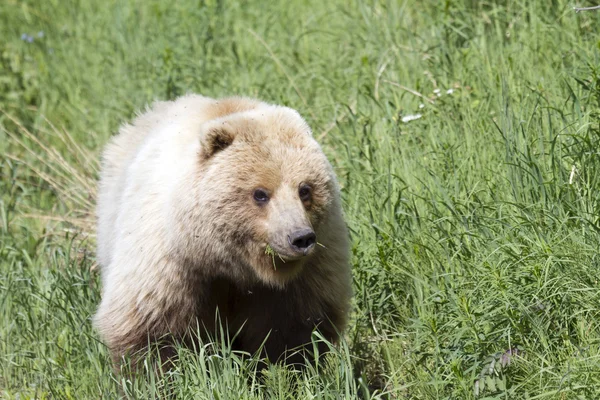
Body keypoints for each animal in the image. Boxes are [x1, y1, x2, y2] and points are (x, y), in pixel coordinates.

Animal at [94, 94, 352, 368]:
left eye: (305, 189)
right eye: (260, 193)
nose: (300, 238)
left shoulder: (306, 273)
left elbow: (293, 329)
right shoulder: (168, 265)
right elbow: (150, 330)